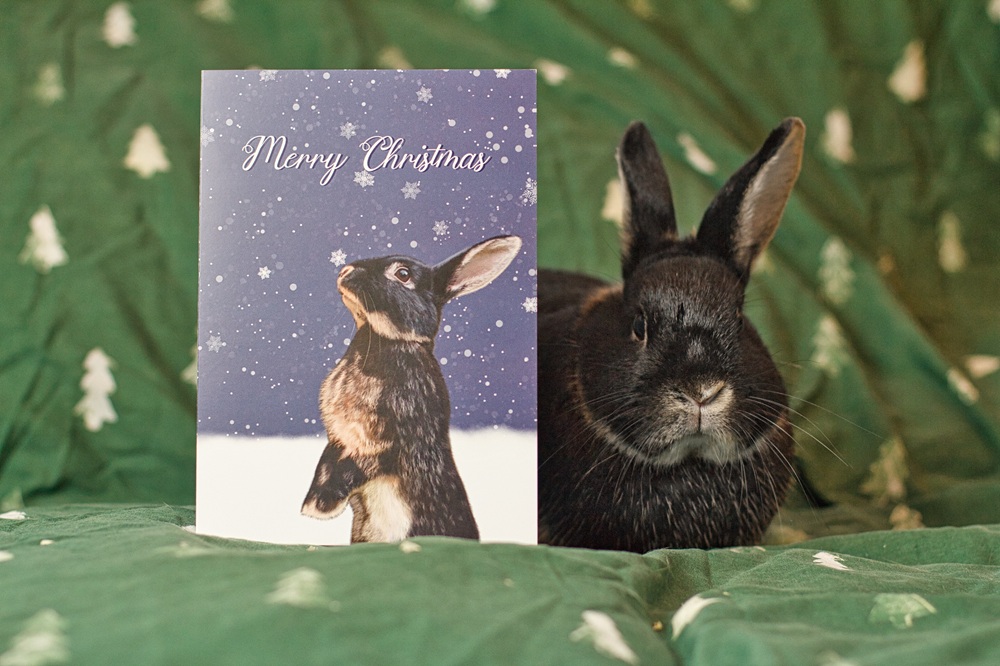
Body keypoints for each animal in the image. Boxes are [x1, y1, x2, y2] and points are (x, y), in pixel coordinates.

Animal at [301, 234, 522, 543]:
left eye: (403, 274)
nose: (345, 271)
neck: (389, 339)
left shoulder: (385, 441)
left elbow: (352, 469)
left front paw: (320, 509)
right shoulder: (339, 440)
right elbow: (324, 465)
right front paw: (311, 505)